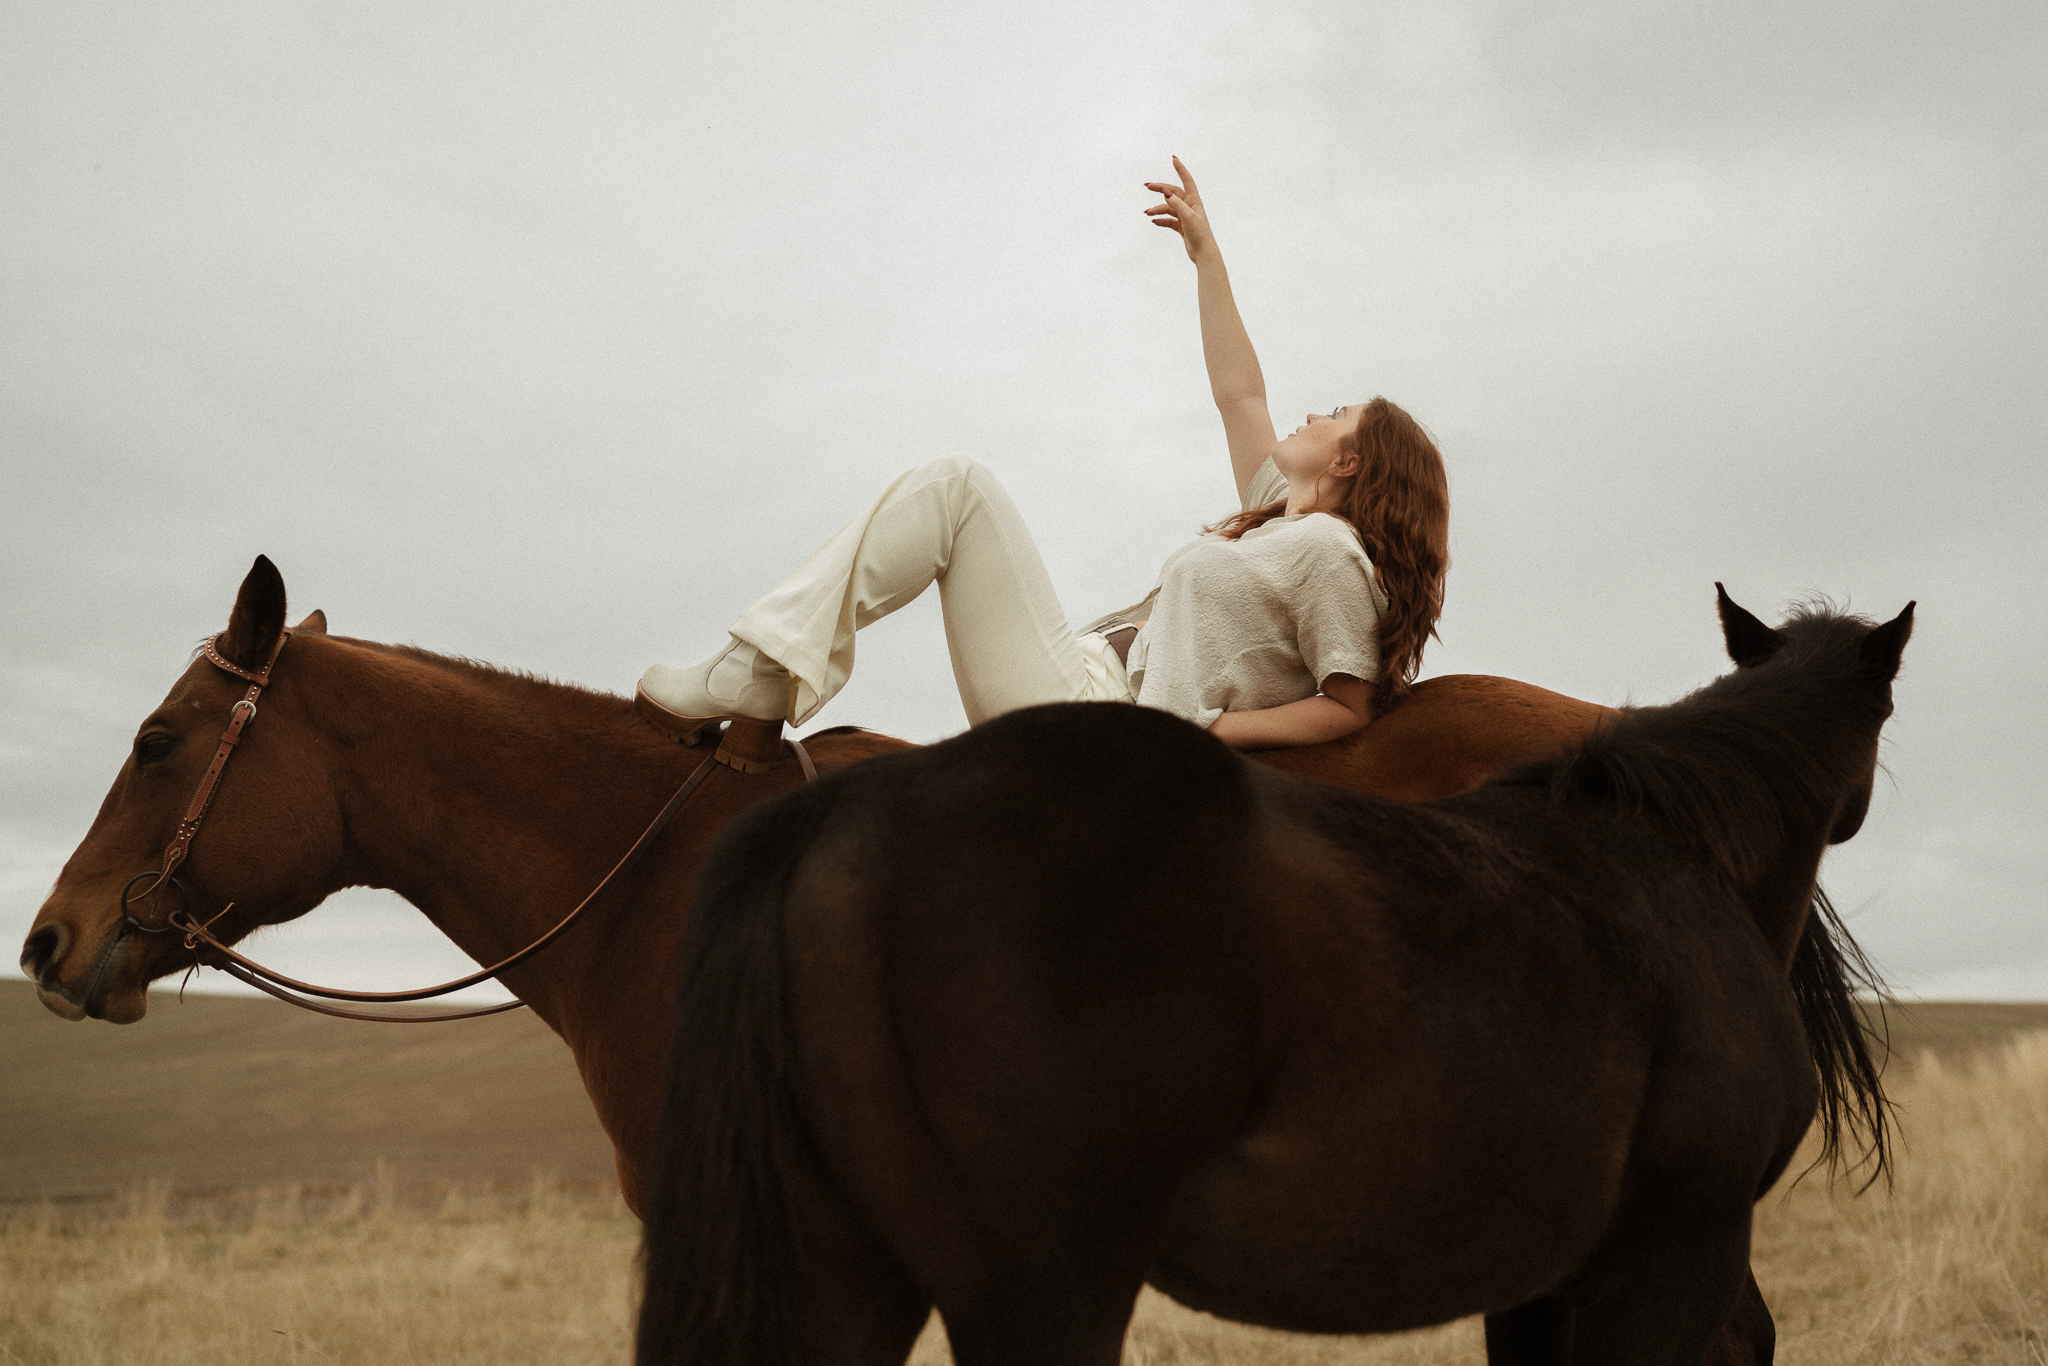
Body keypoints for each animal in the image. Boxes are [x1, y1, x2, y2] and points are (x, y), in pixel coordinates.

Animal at [634, 593, 1900, 1359]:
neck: (1674, 861)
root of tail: (835, 807)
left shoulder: (1549, 1282)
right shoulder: (1673, 1257)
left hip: (844, 1270)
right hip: (1036, 1290)